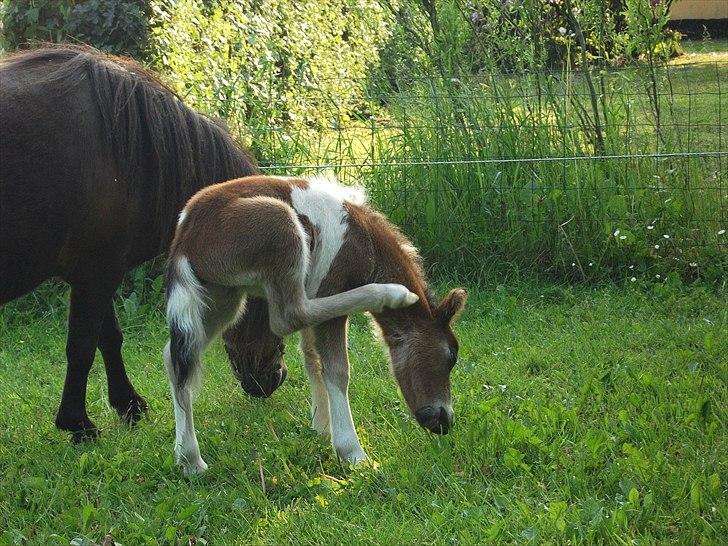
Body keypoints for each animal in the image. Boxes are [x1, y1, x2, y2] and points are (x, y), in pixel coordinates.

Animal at [0, 44, 284, 440]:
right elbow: (82, 346)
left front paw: (128, 405)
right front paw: (78, 424)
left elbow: (108, 338)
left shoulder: (97, 271)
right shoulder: (96, 273)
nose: (273, 379)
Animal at [164, 173, 466, 472]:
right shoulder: (329, 291)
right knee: (288, 317)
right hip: (278, 222)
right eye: (450, 357)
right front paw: (351, 452)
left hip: (221, 297)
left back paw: (190, 459)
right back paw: (391, 294)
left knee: (176, 355)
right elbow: (337, 370)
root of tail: (185, 233)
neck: (365, 242)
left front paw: (321, 427)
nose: (443, 421)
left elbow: (312, 358)